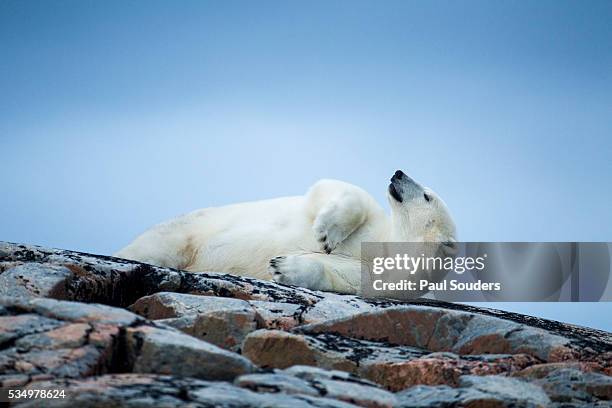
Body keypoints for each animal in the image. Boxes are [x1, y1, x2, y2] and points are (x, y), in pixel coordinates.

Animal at [113, 171, 454, 294]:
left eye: (427, 196)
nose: (398, 172)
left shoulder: (376, 275)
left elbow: (341, 277)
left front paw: (284, 266)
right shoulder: (375, 222)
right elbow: (342, 191)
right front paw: (326, 233)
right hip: (191, 228)